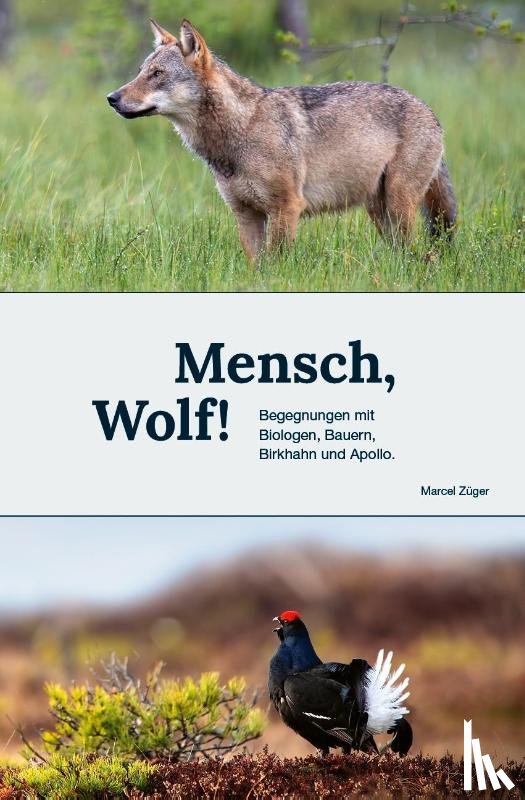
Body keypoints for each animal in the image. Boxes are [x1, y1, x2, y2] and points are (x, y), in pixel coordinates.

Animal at [107, 19, 456, 263]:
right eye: (141, 71)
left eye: (157, 74)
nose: (111, 98)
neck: (240, 131)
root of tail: (429, 109)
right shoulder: (246, 214)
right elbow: (257, 267)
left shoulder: (285, 208)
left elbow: (277, 266)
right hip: (380, 211)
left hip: (399, 204)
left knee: (415, 254)